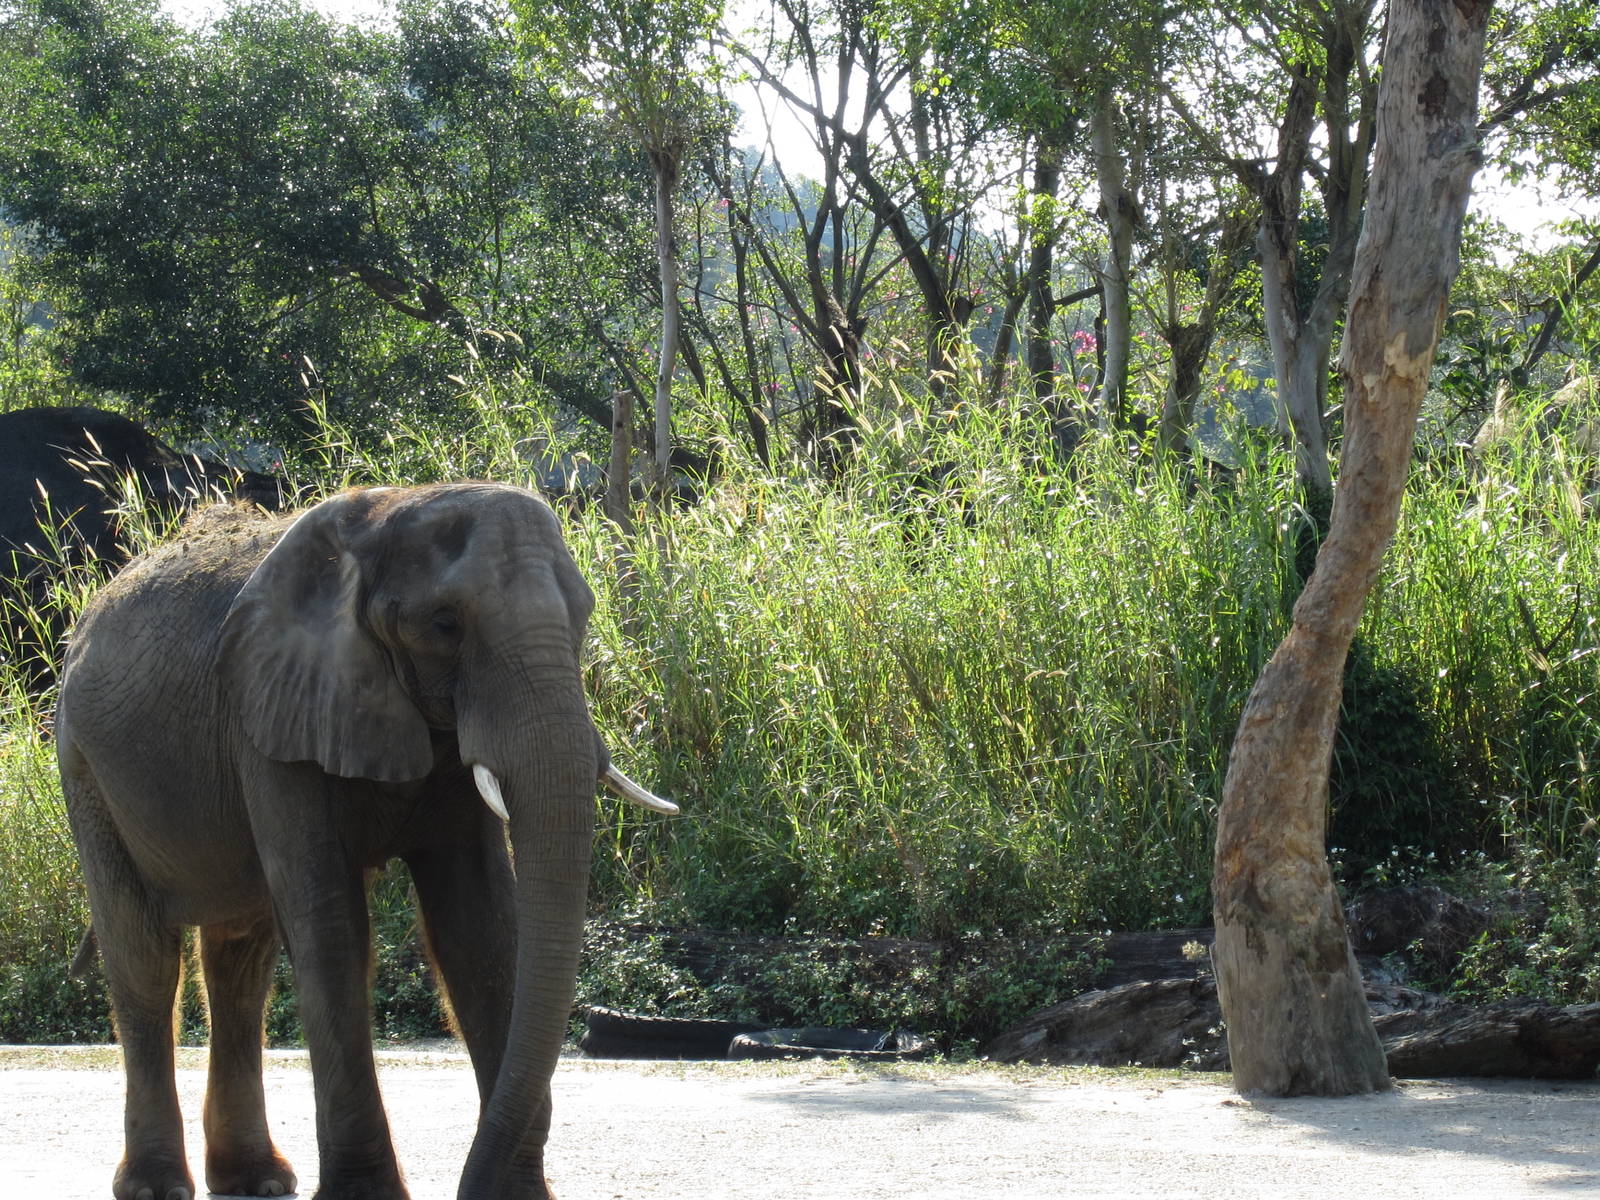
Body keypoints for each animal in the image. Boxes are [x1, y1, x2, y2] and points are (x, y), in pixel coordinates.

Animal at [56, 482, 674, 1200]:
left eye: (583, 615)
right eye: (445, 624)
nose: (466, 1184)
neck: (384, 517)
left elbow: (479, 926)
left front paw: (512, 1194)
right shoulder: (269, 715)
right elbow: (331, 929)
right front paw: (369, 1195)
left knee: (241, 960)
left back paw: (258, 1181)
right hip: (86, 771)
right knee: (145, 959)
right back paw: (160, 1186)